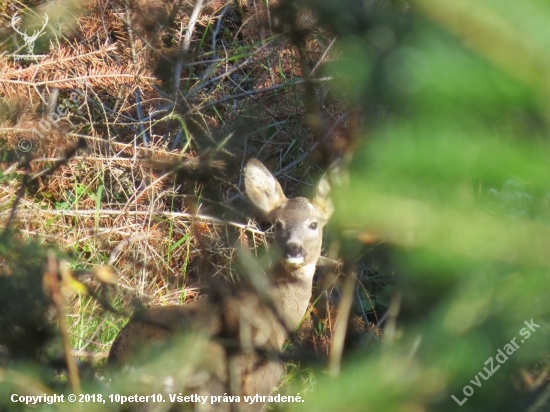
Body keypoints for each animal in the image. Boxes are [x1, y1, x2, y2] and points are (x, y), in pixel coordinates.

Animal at [107, 156, 332, 410]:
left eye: (313, 224)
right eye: (277, 224)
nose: (294, 249)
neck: (275, 321)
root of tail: (121, 360)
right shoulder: (256, 386)